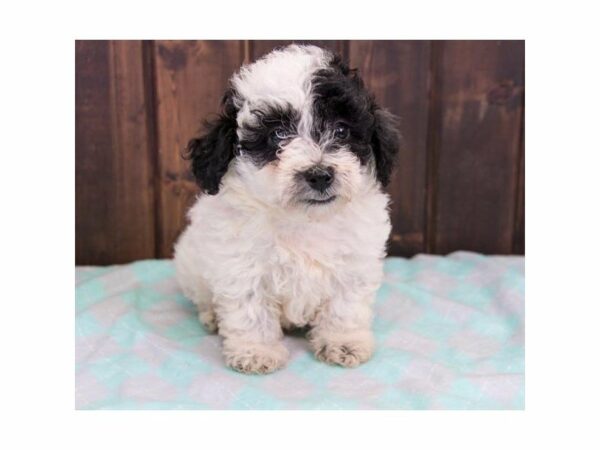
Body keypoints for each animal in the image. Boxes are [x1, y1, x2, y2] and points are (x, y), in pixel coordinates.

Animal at [172, 44, 398, 374]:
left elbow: (345, 306)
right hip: (191, 266)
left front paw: (343, 342)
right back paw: (211, 316)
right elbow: (250, 309)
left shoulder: (355, 263)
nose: (319, 175)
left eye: (341, 130)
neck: (304, 219)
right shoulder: (242, 265)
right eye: (278, 135)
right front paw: (256, 351)